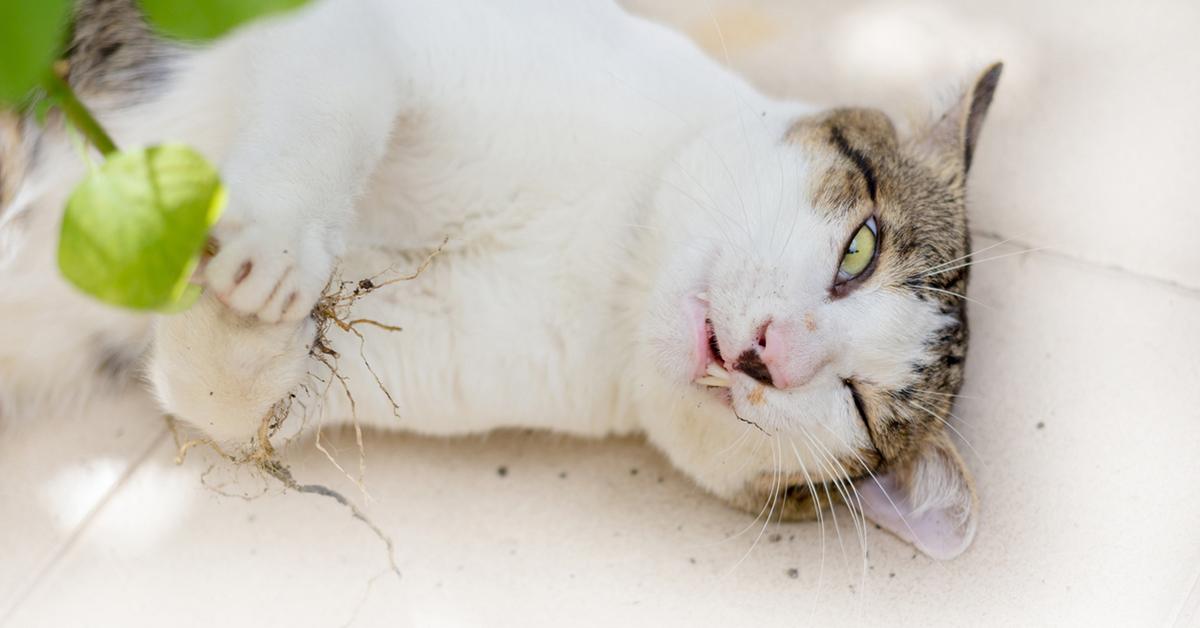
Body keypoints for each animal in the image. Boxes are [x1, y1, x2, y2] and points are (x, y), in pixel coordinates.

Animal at [0, 0, 1003, 559]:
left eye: (859, 410)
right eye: (860, 249)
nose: (769, 354)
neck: (608, 258)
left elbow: (222, 395)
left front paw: (243, 314)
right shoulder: (371, 25)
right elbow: (335, 96)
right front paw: (273, 243)